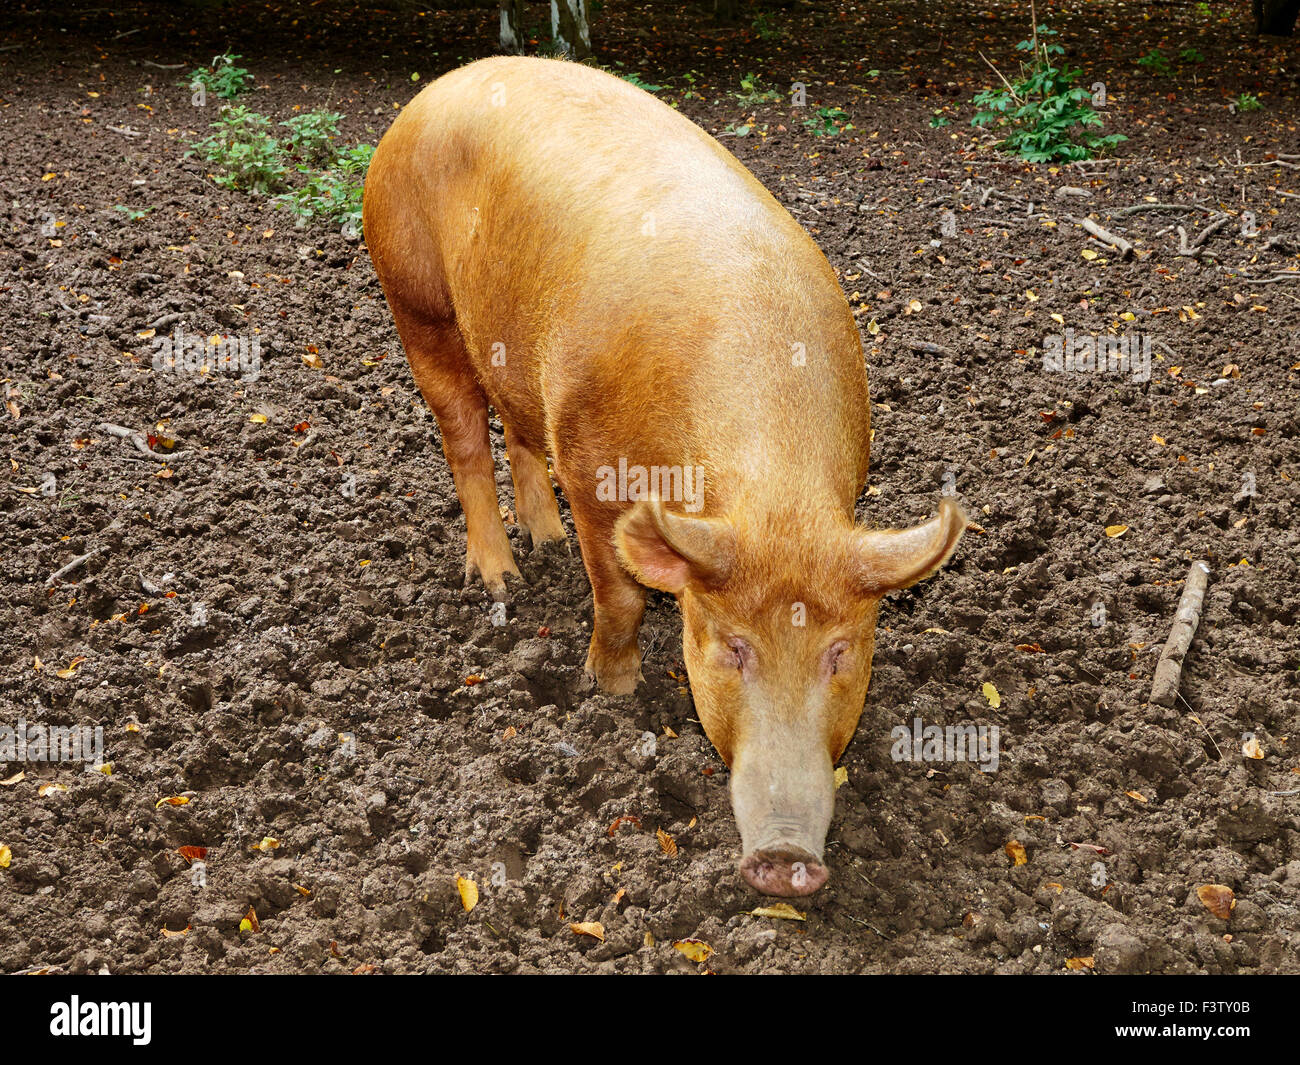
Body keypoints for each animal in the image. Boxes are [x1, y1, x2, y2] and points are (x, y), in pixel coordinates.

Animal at [366, 54, 967, 894]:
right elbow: (618, 593)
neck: (774, 496)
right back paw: (501, 578)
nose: (787, 857)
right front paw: (612, 689)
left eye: (841, 652)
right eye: (731, 646)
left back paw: (545, 540)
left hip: (512, 344)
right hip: (414, 297)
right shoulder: (591, 466)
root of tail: (436, 89)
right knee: (461, 434)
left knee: (515, 425)